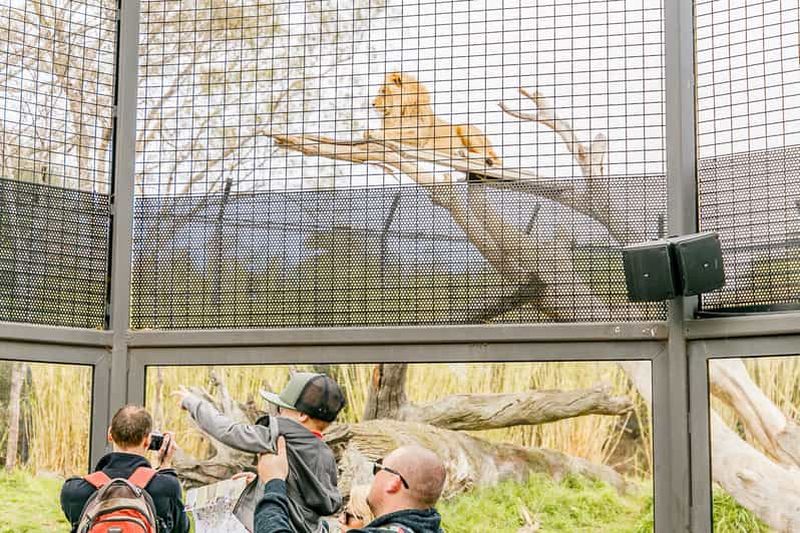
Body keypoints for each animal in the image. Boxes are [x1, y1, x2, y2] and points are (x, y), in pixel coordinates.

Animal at [371, 71, 502, 167]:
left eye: (383, 91)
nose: (372, 104)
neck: (397, 113)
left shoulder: (418, 137)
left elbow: (392, 133)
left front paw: (374, 133)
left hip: (465, 127)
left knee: (492, 158)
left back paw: (465, 153)